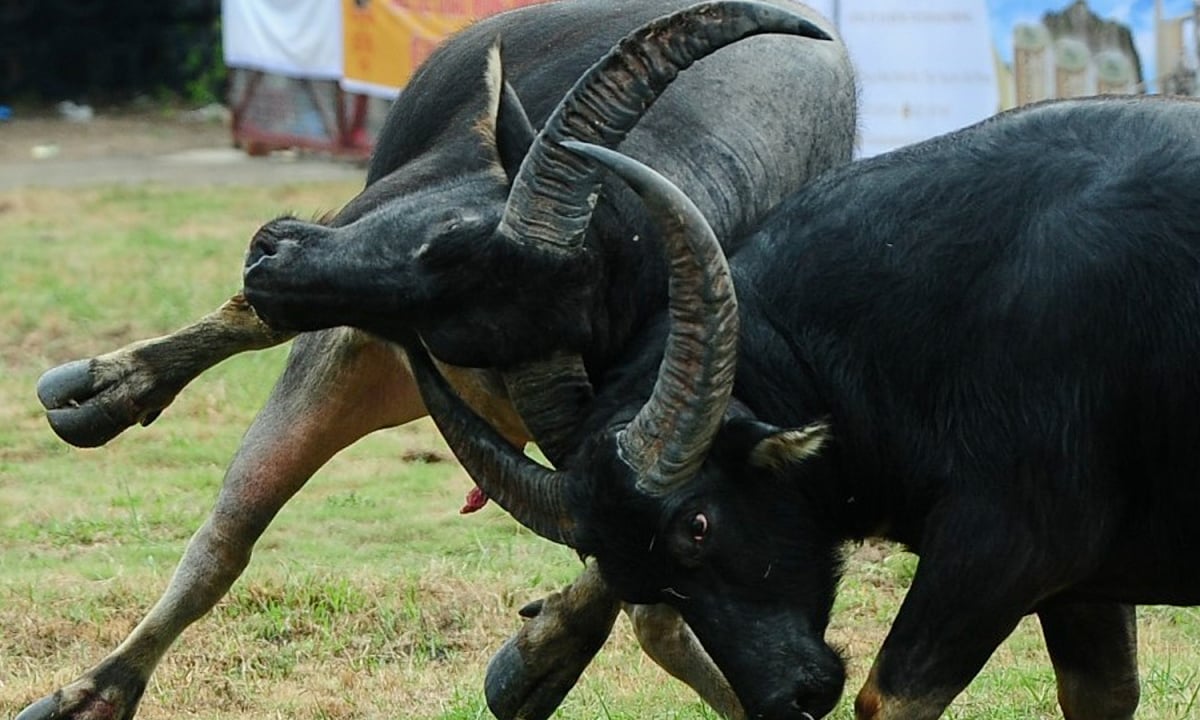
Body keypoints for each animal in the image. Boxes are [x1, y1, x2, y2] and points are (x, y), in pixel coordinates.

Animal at [23, 1, 859, 720]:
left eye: (463, 322)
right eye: (447, 230)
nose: (268, 252)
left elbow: (637, 575)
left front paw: (542, 656)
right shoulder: (351, 340)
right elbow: (228, 532)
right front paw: (91, 693)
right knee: (245, 334)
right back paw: (104, 389)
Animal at [415, 97, 1200, 720]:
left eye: (697, 524)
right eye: (620, 567)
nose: (783, 698)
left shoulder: (1008, 548)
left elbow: (888, 697)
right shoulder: (1081, 591)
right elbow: (1102, 695)